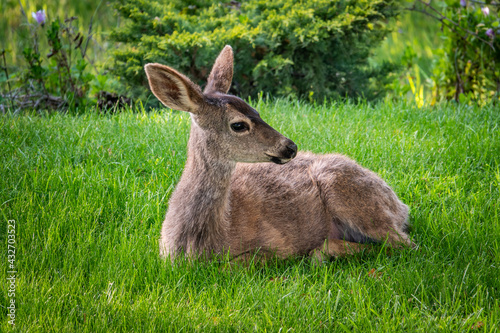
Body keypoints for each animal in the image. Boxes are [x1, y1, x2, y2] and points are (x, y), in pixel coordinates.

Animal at [144, 45, 414, 262]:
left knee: (404, 245)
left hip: (348, 192)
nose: (290, 146)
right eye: (239, 125)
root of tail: (401, 206)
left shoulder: (276, 247)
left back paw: (321, 253)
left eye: (257, 110)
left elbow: (239, 263)